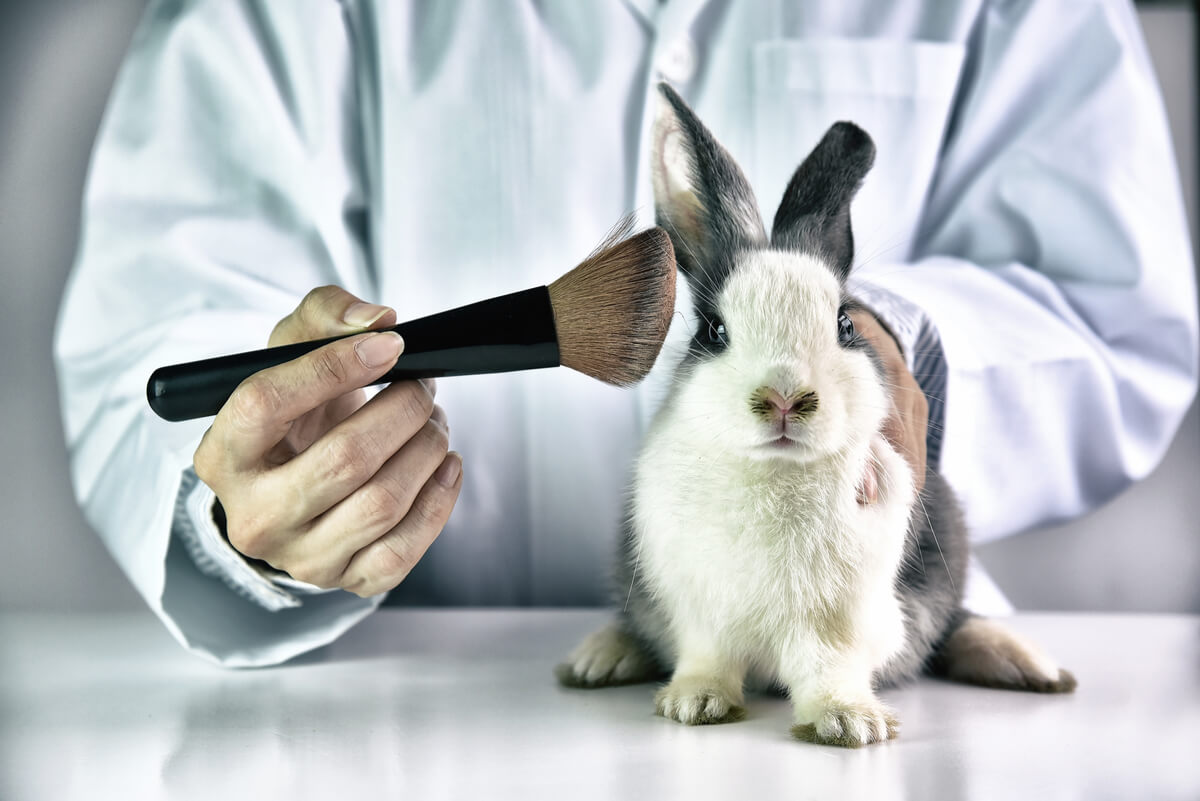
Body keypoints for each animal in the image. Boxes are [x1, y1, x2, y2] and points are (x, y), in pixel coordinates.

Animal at [554, 84, 1080, 748]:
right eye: (713, 331)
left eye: (846, 323)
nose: (784, 398)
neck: (774, 473)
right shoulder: (701, 611)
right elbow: (707, 658)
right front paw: (695, 704)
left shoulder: (843, 619)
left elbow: (830, 667)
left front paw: (851, 723)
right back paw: (599, 659)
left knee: (953, 624)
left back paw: (1027, 666)